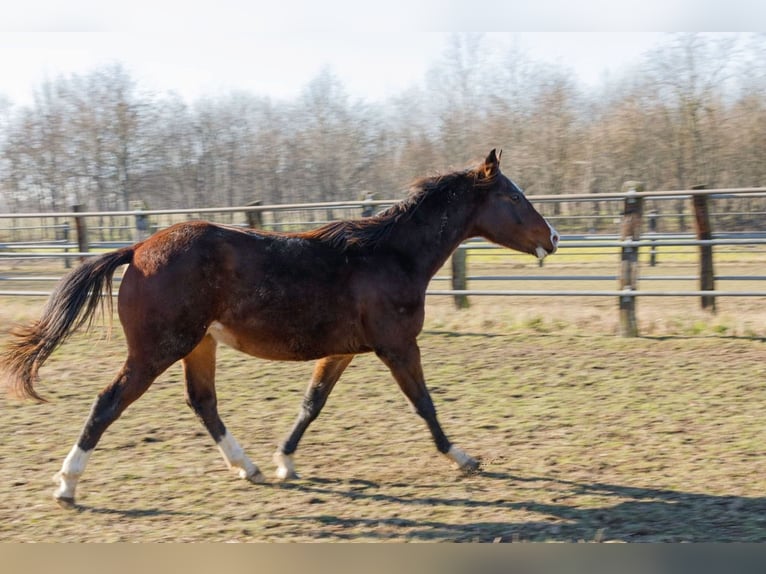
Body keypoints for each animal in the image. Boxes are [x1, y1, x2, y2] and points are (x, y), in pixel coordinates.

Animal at [0, 150, 560, 508]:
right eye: (514, 196)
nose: (553, 237)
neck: (388, 255)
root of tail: (136, 249)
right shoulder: (398, 346)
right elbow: (425, 404)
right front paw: (464, 459)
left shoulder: (343, 351)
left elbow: (312, 404)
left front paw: (284, 462)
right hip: (157, 349)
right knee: (108, 402)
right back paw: (67, 485)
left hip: (198, 345)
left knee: (203, 402)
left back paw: (246, 467)